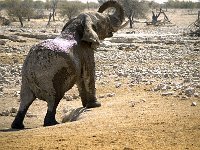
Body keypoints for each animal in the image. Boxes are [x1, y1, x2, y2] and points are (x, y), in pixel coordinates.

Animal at [10, 0, 124, 129]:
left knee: (25, 100)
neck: (78, 24)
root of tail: (32, 64)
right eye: (105, 21)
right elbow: (89, 74)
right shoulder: (86, 52)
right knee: (54, 99)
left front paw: (85, 105)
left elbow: (80, 79)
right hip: (50, 77)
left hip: (26, 79)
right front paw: (95, 105)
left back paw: (18, 126)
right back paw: (52, 123)